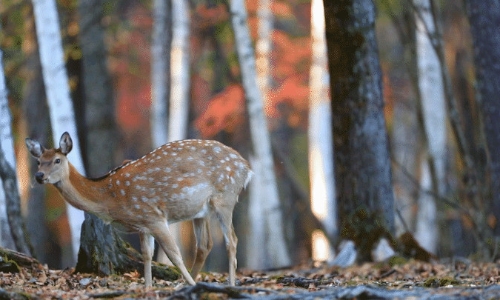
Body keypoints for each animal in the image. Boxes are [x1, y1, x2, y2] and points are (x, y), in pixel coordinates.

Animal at [25, 132, 252, 288]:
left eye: (57, 160)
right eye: (38, 162)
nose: (39, 176)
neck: (112, 198)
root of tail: (247, 167)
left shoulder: (153, 216)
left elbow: (174, 254)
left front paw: (190, 285)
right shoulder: (143, 223)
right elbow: (147, 255)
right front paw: (149, 287)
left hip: (225, 197)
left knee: (232, 240)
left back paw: (230, 284)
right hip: (200, 211)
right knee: (205, 245)